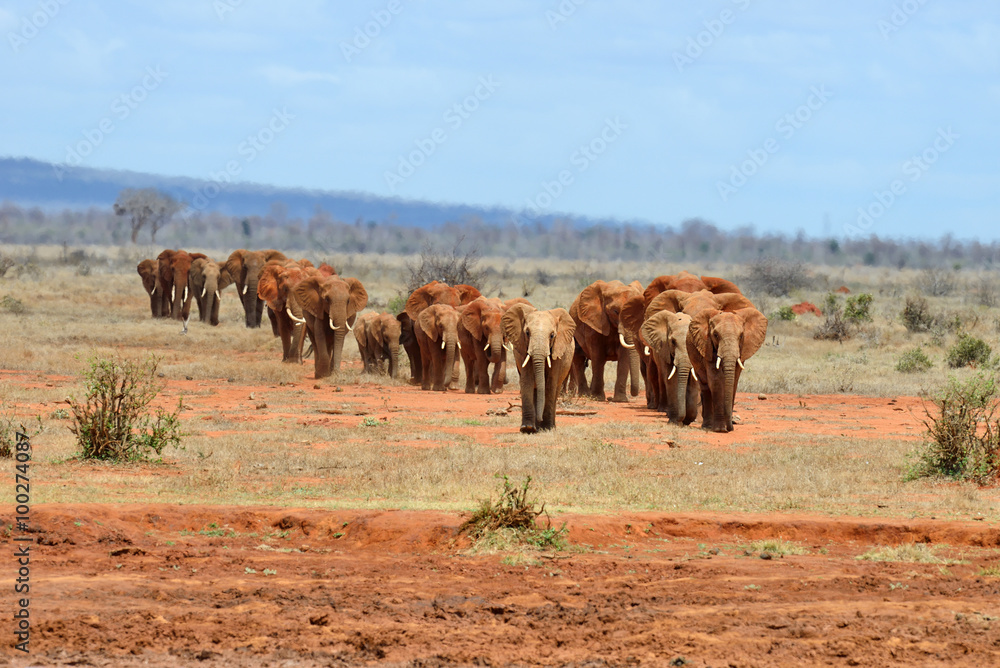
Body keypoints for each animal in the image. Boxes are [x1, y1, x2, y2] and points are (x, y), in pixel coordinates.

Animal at [501, 303, 576, 433]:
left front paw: (547, 428)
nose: (540, 419)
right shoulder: (522, 349)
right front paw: (527, 428)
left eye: (552, 335)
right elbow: (527, 381)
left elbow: (550, 384)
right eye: (527, 333)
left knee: (555, 389)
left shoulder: (557, 351)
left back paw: (549, 426)